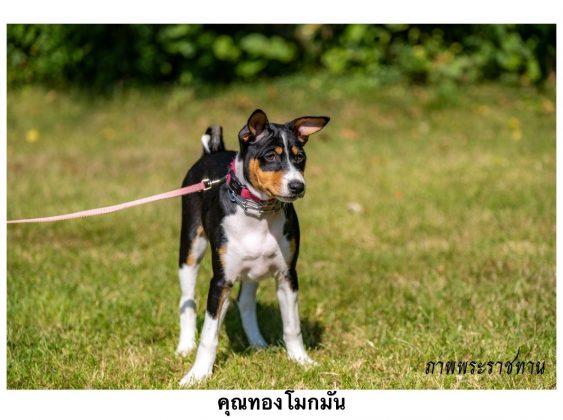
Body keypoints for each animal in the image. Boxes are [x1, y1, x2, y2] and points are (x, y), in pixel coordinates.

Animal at [177, 110, 330, 386]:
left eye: (300, 157)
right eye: (270, 156)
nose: (298, 186)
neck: (259, 213)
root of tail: (212, 151)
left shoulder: (287, 275)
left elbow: (292, 327)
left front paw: (301, 361)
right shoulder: (220, 280)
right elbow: (209, 335)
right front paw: (197, 375)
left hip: (252, 268)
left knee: (245, 302)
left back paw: (258, 343)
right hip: (190, 249)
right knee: (188, 300)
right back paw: (185, 346)